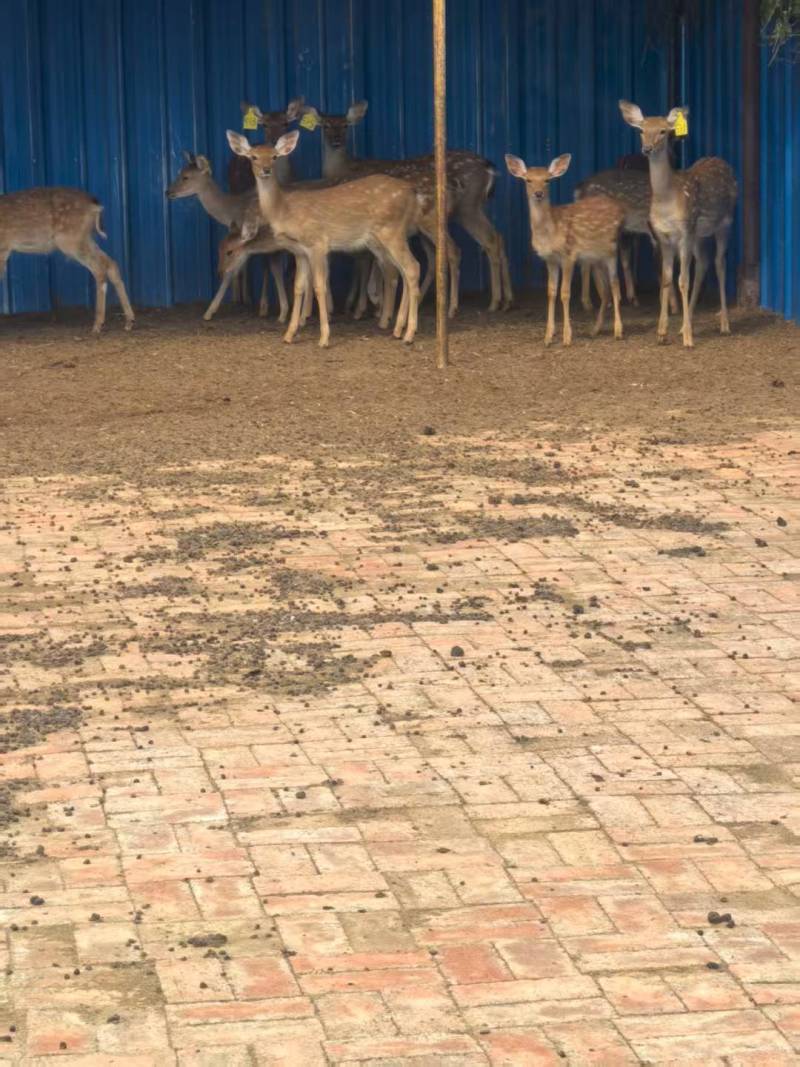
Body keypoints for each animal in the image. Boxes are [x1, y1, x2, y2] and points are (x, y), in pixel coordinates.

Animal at [0, 187, 134, 333]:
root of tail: (96, 205)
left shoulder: (3, 248)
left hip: (70, 239)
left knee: (99, 267)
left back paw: (98, 325)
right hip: (84, 238)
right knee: (110, 263)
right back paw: (129, 321)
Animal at [226, 129, 421, 347]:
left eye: (275, 156)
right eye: (253, 156)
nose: (266, 170)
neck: (284, 211)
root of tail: (412, 192)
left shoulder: (317, 243)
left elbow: (319, 286)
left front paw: (324, 337)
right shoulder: (298, 251)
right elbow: (299, 287)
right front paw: (289, 335)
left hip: (391, 230)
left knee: (412, 267)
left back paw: (409, 334)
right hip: (389, 237)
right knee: (402, 271)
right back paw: (398, 330)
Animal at [303, 101, 513, 312]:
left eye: (345, 125)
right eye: (325, 126)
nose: (336, 141)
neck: (343, 170)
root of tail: (489, 166)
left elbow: (369, 260)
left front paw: (372, 302)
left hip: (466, 208)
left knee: (478, 243)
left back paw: (473, 304)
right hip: (467, 211)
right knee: (495, 238)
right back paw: (505, 300)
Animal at [505, 153, 625, 346]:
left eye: (547, 180)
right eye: (528, 180)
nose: (538, 193)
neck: (550, 233)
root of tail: (620, 208)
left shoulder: (569, 255)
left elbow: (565, 293)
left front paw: (567, 337)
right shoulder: (550, 259)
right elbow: (551, 292)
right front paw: (548, 337)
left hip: (612, 251)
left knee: (615, 285)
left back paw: (618, 331)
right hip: (595, 259)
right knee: (605, 291)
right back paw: (595, 330)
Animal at [619, 101, 738, 347]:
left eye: (663, 131)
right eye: (642, 130)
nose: (647, 149)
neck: (667, 200)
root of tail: (723, 162)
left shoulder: (684, 231)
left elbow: (683, 280)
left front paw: (689, 339)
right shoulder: (663, 236)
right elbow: (666, 279)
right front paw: (662, 333)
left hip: (724, 222)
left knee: (719, 263)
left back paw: (724, 325)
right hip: (699, 234)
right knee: (703, 263)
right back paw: (685, 325)